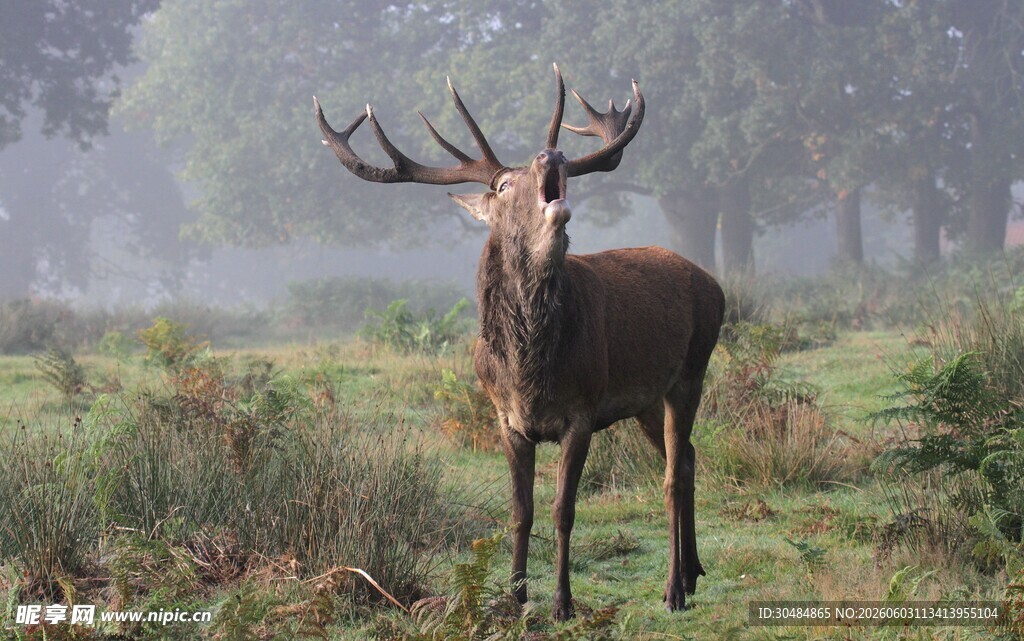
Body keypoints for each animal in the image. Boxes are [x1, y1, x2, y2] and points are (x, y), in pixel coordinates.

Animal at [314, 64, 724, 620]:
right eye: (505, 185)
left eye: (560, 166)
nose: (552, 155)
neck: (531, 372)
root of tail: (714, 284)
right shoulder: (505, 418)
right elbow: (519, 511)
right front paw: (514, 595)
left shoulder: (582, 412)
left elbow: (563, 510)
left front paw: (563, 603)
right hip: (644, 401)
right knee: (687, 457)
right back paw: (694, 570)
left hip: (692, 371)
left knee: (672, 476)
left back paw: (674, 588)